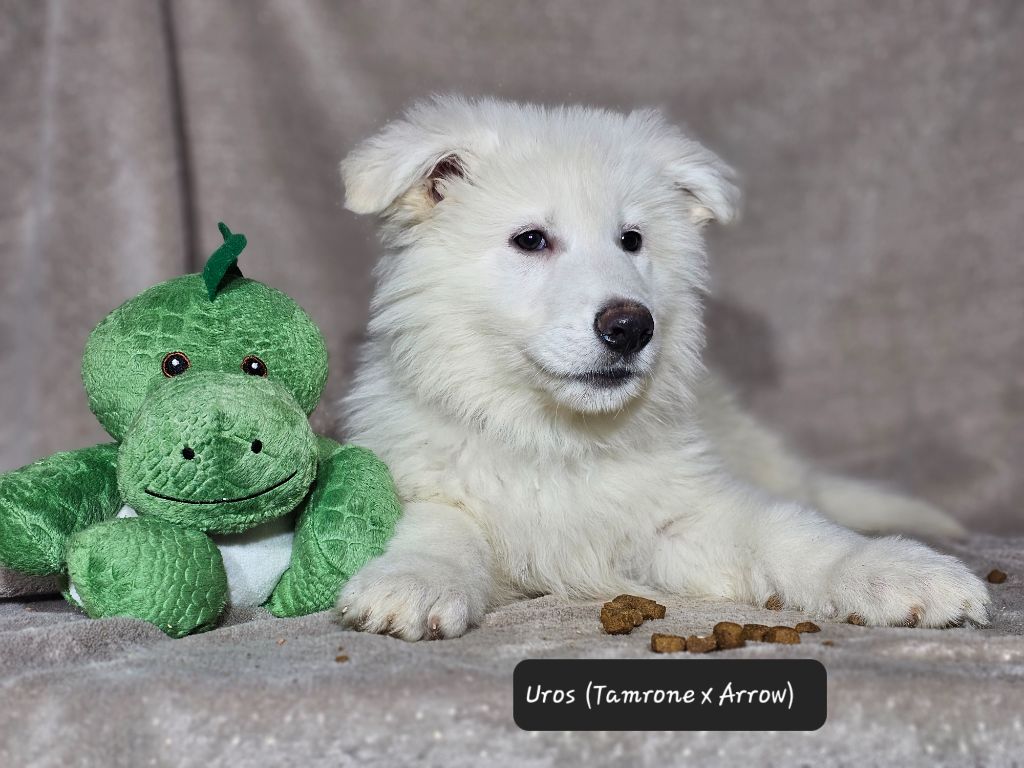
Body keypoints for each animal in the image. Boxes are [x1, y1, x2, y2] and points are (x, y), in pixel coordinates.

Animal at [334, 95, 989, 640]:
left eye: (632, 239)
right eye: (531, 239)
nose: (631, 326)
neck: (559, 438)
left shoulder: (683, 516)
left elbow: (791, 532)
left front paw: (895, 571)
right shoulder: (425, 476)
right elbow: (444, 526)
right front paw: (414, 581)